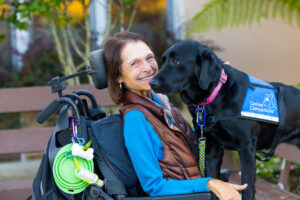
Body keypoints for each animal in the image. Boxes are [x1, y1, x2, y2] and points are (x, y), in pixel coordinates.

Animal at [151, 39, 300, 199]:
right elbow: (212, 184)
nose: (151, 83)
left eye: (176, 61)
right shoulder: (211, 148)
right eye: (163, 60)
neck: (216, 94)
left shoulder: (247, 148)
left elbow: (247, 187)